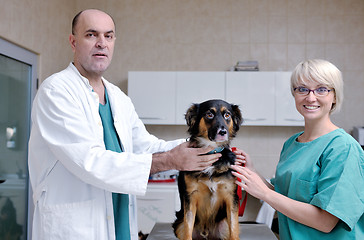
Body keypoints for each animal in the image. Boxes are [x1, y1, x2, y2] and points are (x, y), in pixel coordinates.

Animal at [173, 98, 243, 239]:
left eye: (227, 115)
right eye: (209, 114)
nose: (223, 132)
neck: (211, 151)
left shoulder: (231, 196)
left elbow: (234, 228)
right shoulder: (190, 196)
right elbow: (188, 227)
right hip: (179, 225)